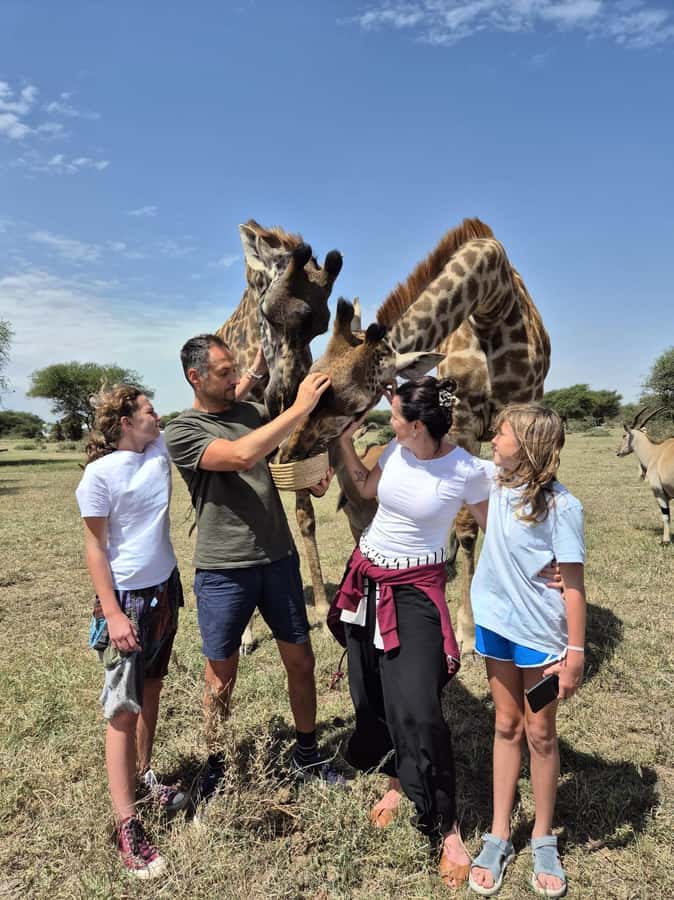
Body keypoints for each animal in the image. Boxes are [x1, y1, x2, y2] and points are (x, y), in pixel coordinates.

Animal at [215, 219, 343, 650]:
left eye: (322, 325)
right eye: (268, 313)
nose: (286, 396)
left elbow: (305, 517)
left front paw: (320, 609)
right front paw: (246, 634)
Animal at [277, 218, 551, 652]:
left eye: (354, 404)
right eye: (312, 379)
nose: (288, 454)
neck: (494, 303)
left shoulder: (522, 408)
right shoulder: (462, 416)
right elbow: (467, 527)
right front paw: (468, 628)